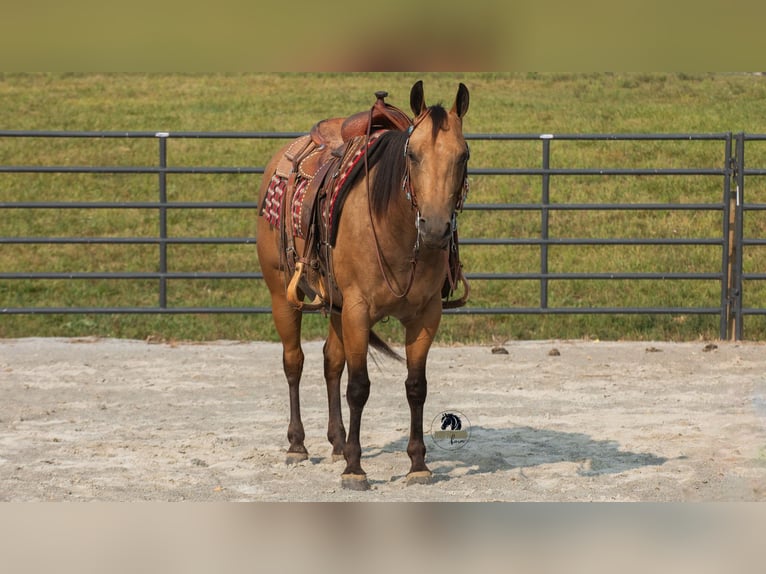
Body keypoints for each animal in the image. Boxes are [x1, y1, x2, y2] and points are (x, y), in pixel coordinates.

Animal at [256, 80, 470, 491]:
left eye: (463, 155)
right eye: (413, 155)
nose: (435, 229)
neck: (394, 229)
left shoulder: (426, 315)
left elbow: (415, 386)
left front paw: (418, 464)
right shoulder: (358, 311)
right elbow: (358, 387)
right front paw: (355, 468)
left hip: (336, 305)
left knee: (330, 362)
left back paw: (337, 441)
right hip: (282, 295)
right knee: (294, 362)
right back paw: (298, 445)